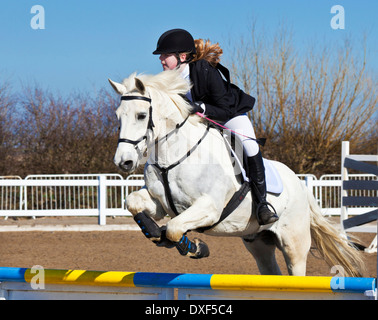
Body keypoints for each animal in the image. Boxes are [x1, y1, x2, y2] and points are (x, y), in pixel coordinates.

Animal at [108, 70, 364, 278]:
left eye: (141, 115)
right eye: (118, 116)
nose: (124, 161)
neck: (171, 155)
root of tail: (300, 184)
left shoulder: (209, 208)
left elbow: (173, 228)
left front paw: (195, 249)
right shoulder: (161, 205)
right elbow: (134, 203)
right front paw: (154, 232)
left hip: (294, 244)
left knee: (295, 270)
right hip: (258, 242)